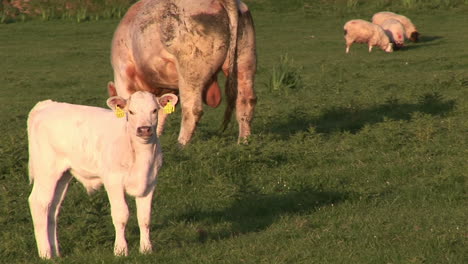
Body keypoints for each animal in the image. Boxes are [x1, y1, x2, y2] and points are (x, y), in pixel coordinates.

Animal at [27, 90, 177, 258]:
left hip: (62, 176)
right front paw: (120, 250)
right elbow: (121, 215)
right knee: (39, 203)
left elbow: (145, 217)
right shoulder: (113, 181)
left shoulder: (150, 183)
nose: (144, 129)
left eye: (154, 110)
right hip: (46, 171)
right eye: (131, 111)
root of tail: (47, 105)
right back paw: (45, 253)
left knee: (52, 208)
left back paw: (55, 252)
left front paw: (146, 249)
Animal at [108, 0, 258, 144]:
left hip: (191, 70)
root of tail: (223, 1)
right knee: (246, 101)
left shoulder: (123, 75)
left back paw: (181, 143)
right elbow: (163, 112)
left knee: (192, 109)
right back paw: (243, 141)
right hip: (245, 59)